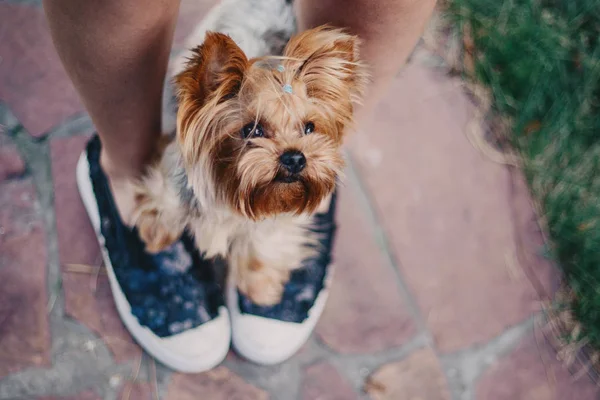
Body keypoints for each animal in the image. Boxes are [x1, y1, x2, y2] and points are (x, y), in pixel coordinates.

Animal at [132, 25, 366, 304]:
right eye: (252, 130)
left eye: (309, 128)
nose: (295, 157)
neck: (229, 186)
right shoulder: (173, 185)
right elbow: (163, 205)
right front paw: (156, 234)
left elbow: (263, 246)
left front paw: (260, 288)